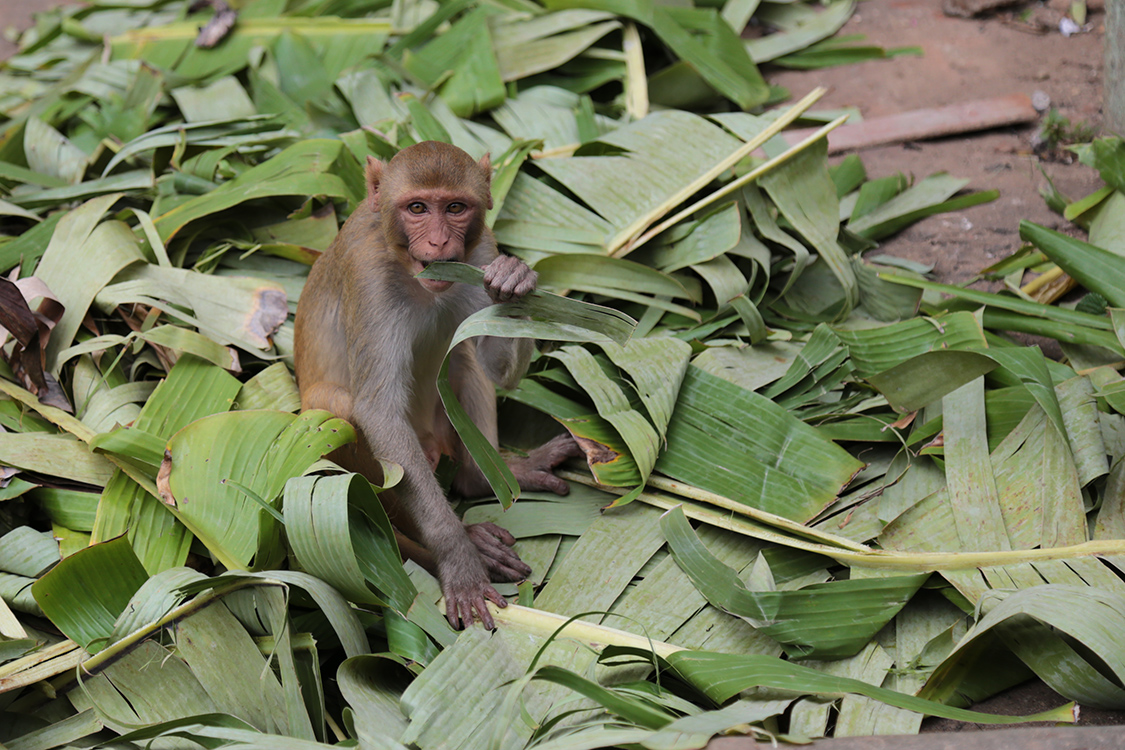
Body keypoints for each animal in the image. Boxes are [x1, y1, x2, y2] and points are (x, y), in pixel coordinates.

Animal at [292, 139, 580, 629]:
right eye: (417, 208)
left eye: (456, 207)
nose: (440, 241)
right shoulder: (369, 278)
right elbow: (377, 411)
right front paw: (458, 558)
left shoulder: (481, 254)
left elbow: (493, 365)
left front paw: (516, 280)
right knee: (340, 410)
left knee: (463, 361)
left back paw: (483, 479)